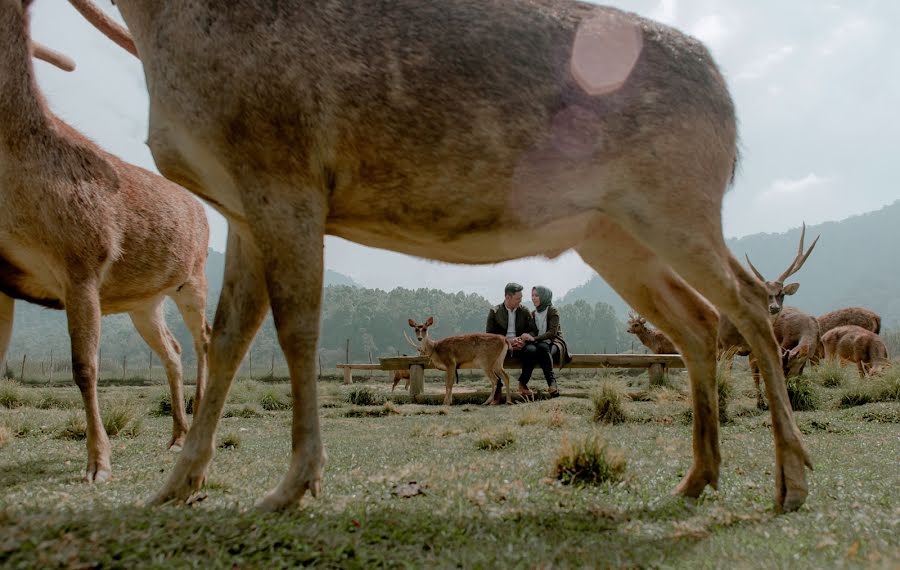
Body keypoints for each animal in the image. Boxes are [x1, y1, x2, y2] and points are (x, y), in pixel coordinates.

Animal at [0, 3, 211, 480]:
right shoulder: (2, 278)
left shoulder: (84, 261)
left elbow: (85, 366)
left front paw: (99, 464)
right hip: (144, 303)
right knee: (172, 350)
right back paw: (174, 436)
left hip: (193, 277)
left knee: (204, 339)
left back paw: (196, 428)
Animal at [72, 0, 816, 512]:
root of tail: (729, 105)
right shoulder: (240, 206)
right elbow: (226, 340)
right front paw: (172, 486)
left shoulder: (282, 169)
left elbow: (295, 330)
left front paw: (292, 486)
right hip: (611, 232)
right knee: (697, 320)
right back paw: (699, 477)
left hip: (678, 198)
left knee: (749, 299)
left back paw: (792, 480)